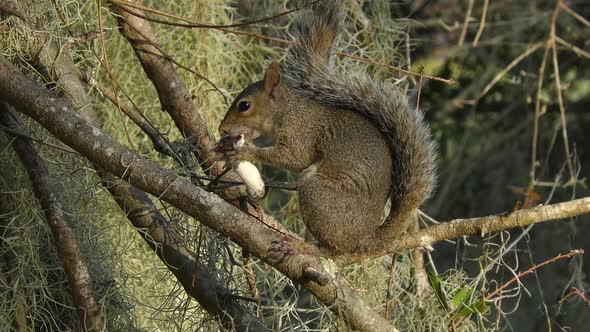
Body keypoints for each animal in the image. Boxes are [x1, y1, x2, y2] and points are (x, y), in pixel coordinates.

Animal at [220, 0, 438, 255]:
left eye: (244, 105)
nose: (222, 129)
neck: (287, 110)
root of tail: (365, 239)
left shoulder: (301, 132)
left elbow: (296, 158)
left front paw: (245, 152)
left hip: (316, 194)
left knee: (331, 249)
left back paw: (301, 245)